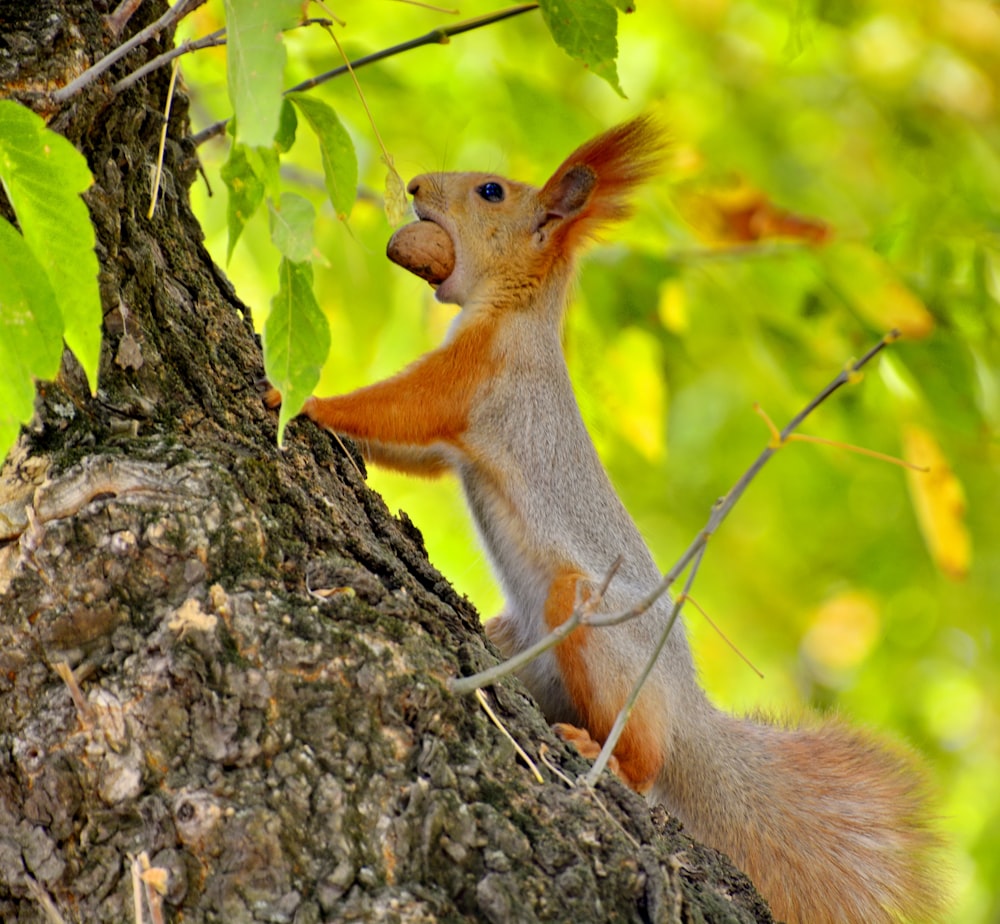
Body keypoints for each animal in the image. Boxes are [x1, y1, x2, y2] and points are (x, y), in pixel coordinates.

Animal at [264, 117, 936, 924]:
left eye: (491, 190)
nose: (419, 185)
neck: (515, 311)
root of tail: (687, 716)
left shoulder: (475, 377)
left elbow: (398, 407)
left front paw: (295, 397)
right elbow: (414, 453)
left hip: (586, 617)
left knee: (644, 763)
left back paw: (601, 757)